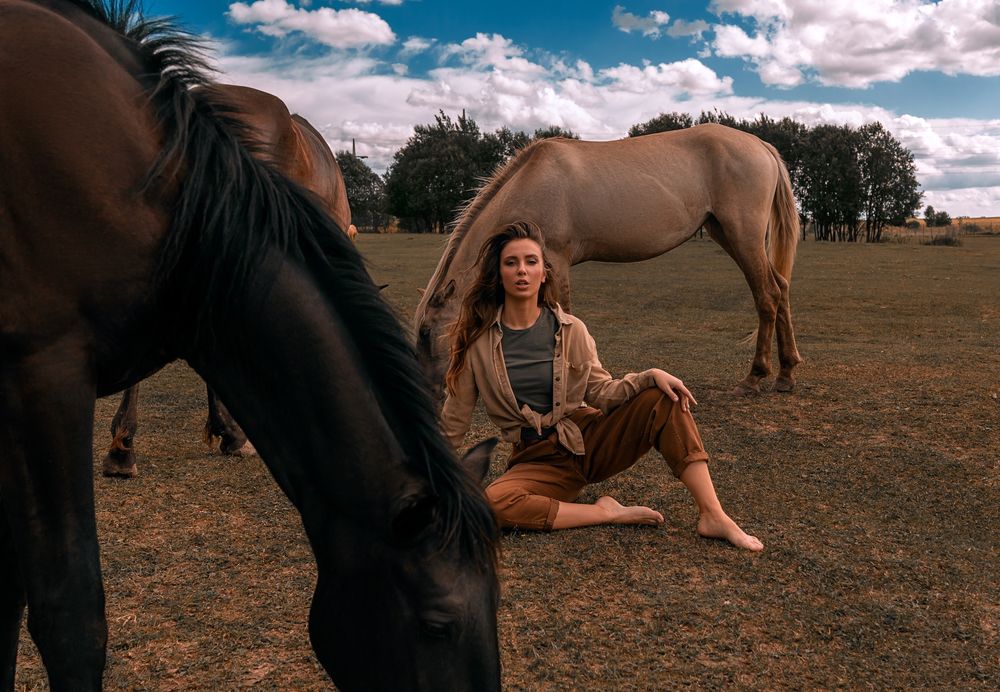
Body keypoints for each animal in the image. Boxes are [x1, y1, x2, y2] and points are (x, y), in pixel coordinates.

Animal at [414, 121, 804, 398]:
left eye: (425, 333)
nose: (431, 394)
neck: (532, 184)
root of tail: (761, 145)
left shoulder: (555, 260)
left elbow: (563, 316)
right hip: (724, 232)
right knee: (781, 288)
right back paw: (786, 374)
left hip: (743, 235)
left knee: (767, 294)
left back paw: (754, 378)